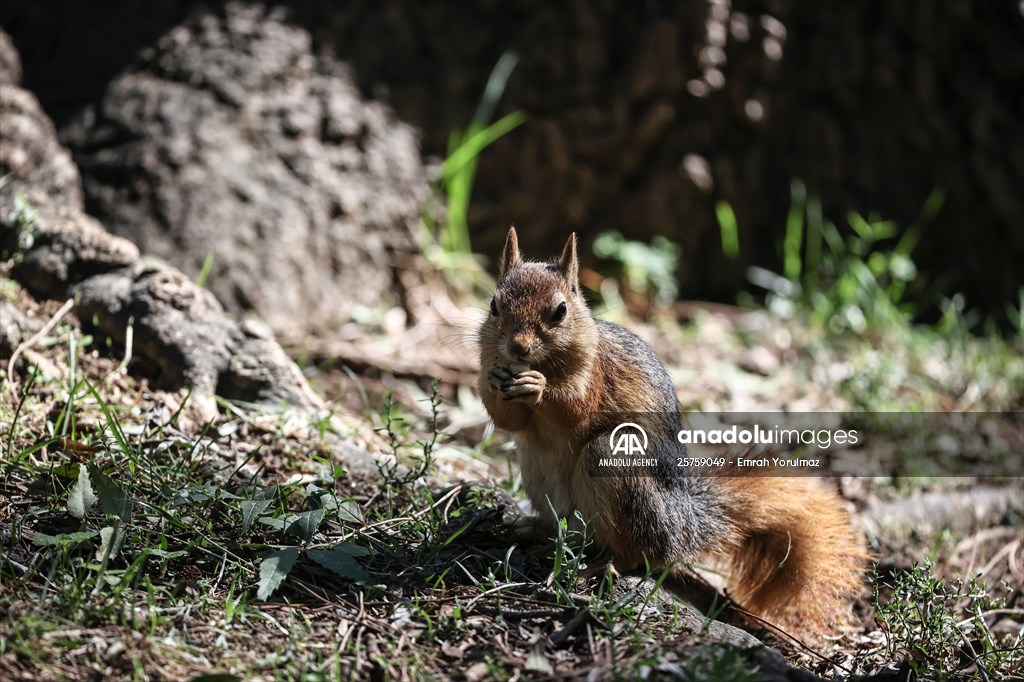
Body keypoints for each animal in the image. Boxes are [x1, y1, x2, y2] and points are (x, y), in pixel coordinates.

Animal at [478, 227, 869, 633]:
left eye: (560, 311)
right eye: (494, 304)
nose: (517, 347)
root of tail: (683, 528)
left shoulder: (597, 374)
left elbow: (576, 409)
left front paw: (537, 387)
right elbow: (511, 421)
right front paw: (493, 381)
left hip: (617, 468)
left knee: (641, 555)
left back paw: (603, 565)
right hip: (536, 472)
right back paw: (530, 528)